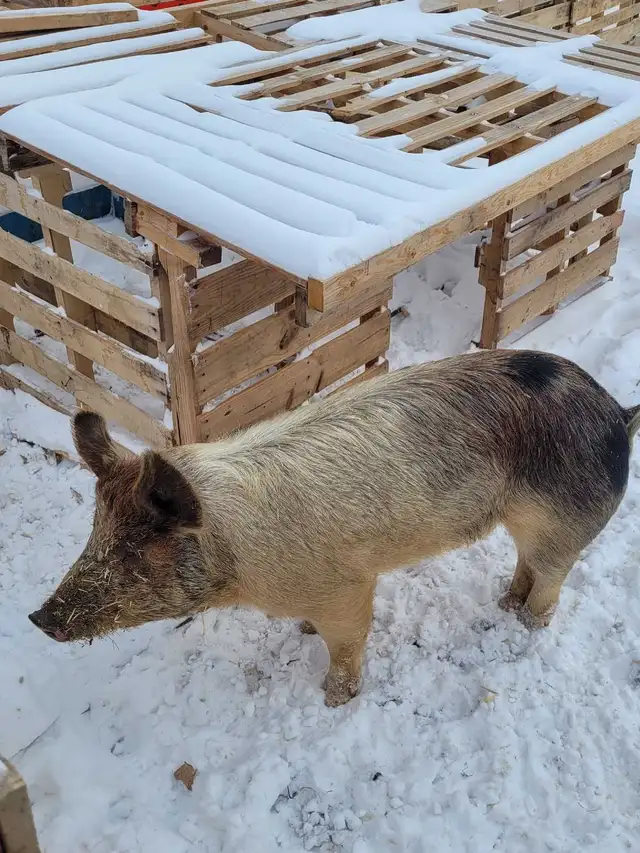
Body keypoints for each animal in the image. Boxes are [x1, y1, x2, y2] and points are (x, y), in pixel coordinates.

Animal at [29, 350, 639, 707]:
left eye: (135, 549)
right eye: (95, 532)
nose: (39, 619)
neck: (239, 562)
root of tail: (616, 411)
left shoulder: (347, 587)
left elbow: (346, 644)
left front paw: (333, 700)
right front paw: (302, 633)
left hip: (565, 519)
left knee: (552, 581)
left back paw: (526, 625)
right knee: (526, 562)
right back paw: (505, 604)